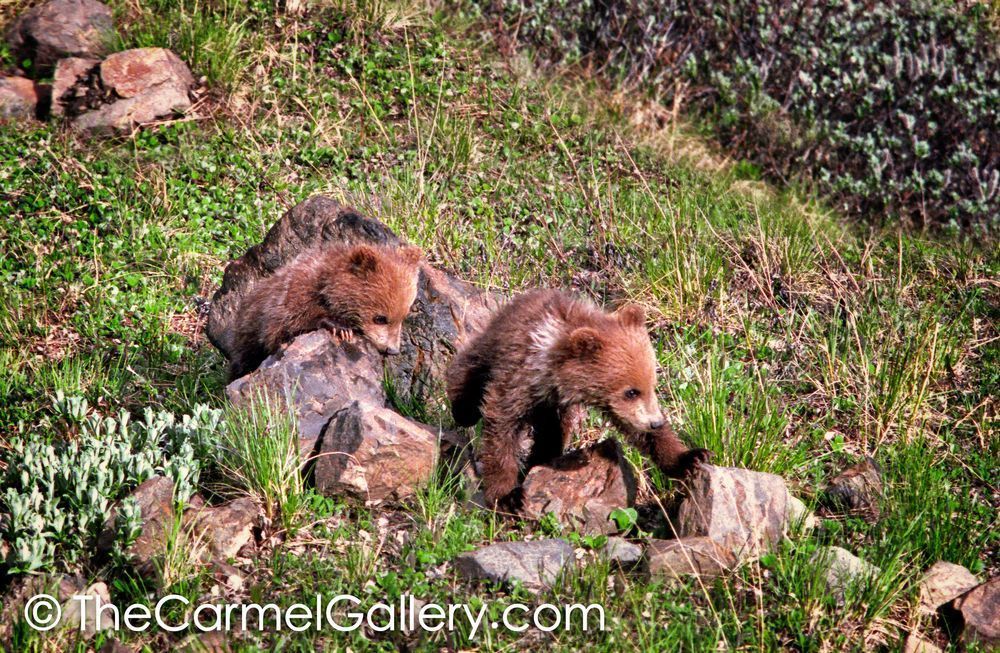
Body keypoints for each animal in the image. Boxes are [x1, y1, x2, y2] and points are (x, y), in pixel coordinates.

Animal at [228, 242, 422, 380]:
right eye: (380, 318)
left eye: (403, 316)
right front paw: (341, 328)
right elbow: (282, 327)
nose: (392, 350)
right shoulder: (290, 296)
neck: (325, 287)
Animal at [446, 288, 711, 508]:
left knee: (553, 432)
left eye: (651, 385)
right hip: (492, 347)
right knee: (469, 371)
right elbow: (501, 427)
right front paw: (507, 495)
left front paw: (691, 457)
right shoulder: (518, 378)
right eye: (631, 391)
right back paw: (462, 408)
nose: (655, 422)